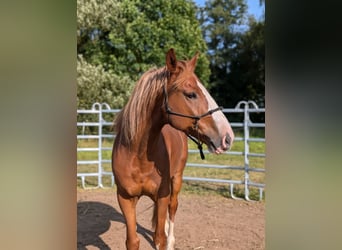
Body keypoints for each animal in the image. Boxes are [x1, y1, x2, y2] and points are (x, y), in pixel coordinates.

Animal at [112, 47, 235, 249]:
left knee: (173, 207)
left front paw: (166, 240)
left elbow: (160, 237)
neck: (139, 155)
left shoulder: (162, 195)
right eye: (191, 94)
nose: (228, 137)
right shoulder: (125, 198)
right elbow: (133, 240)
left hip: (176, 179)